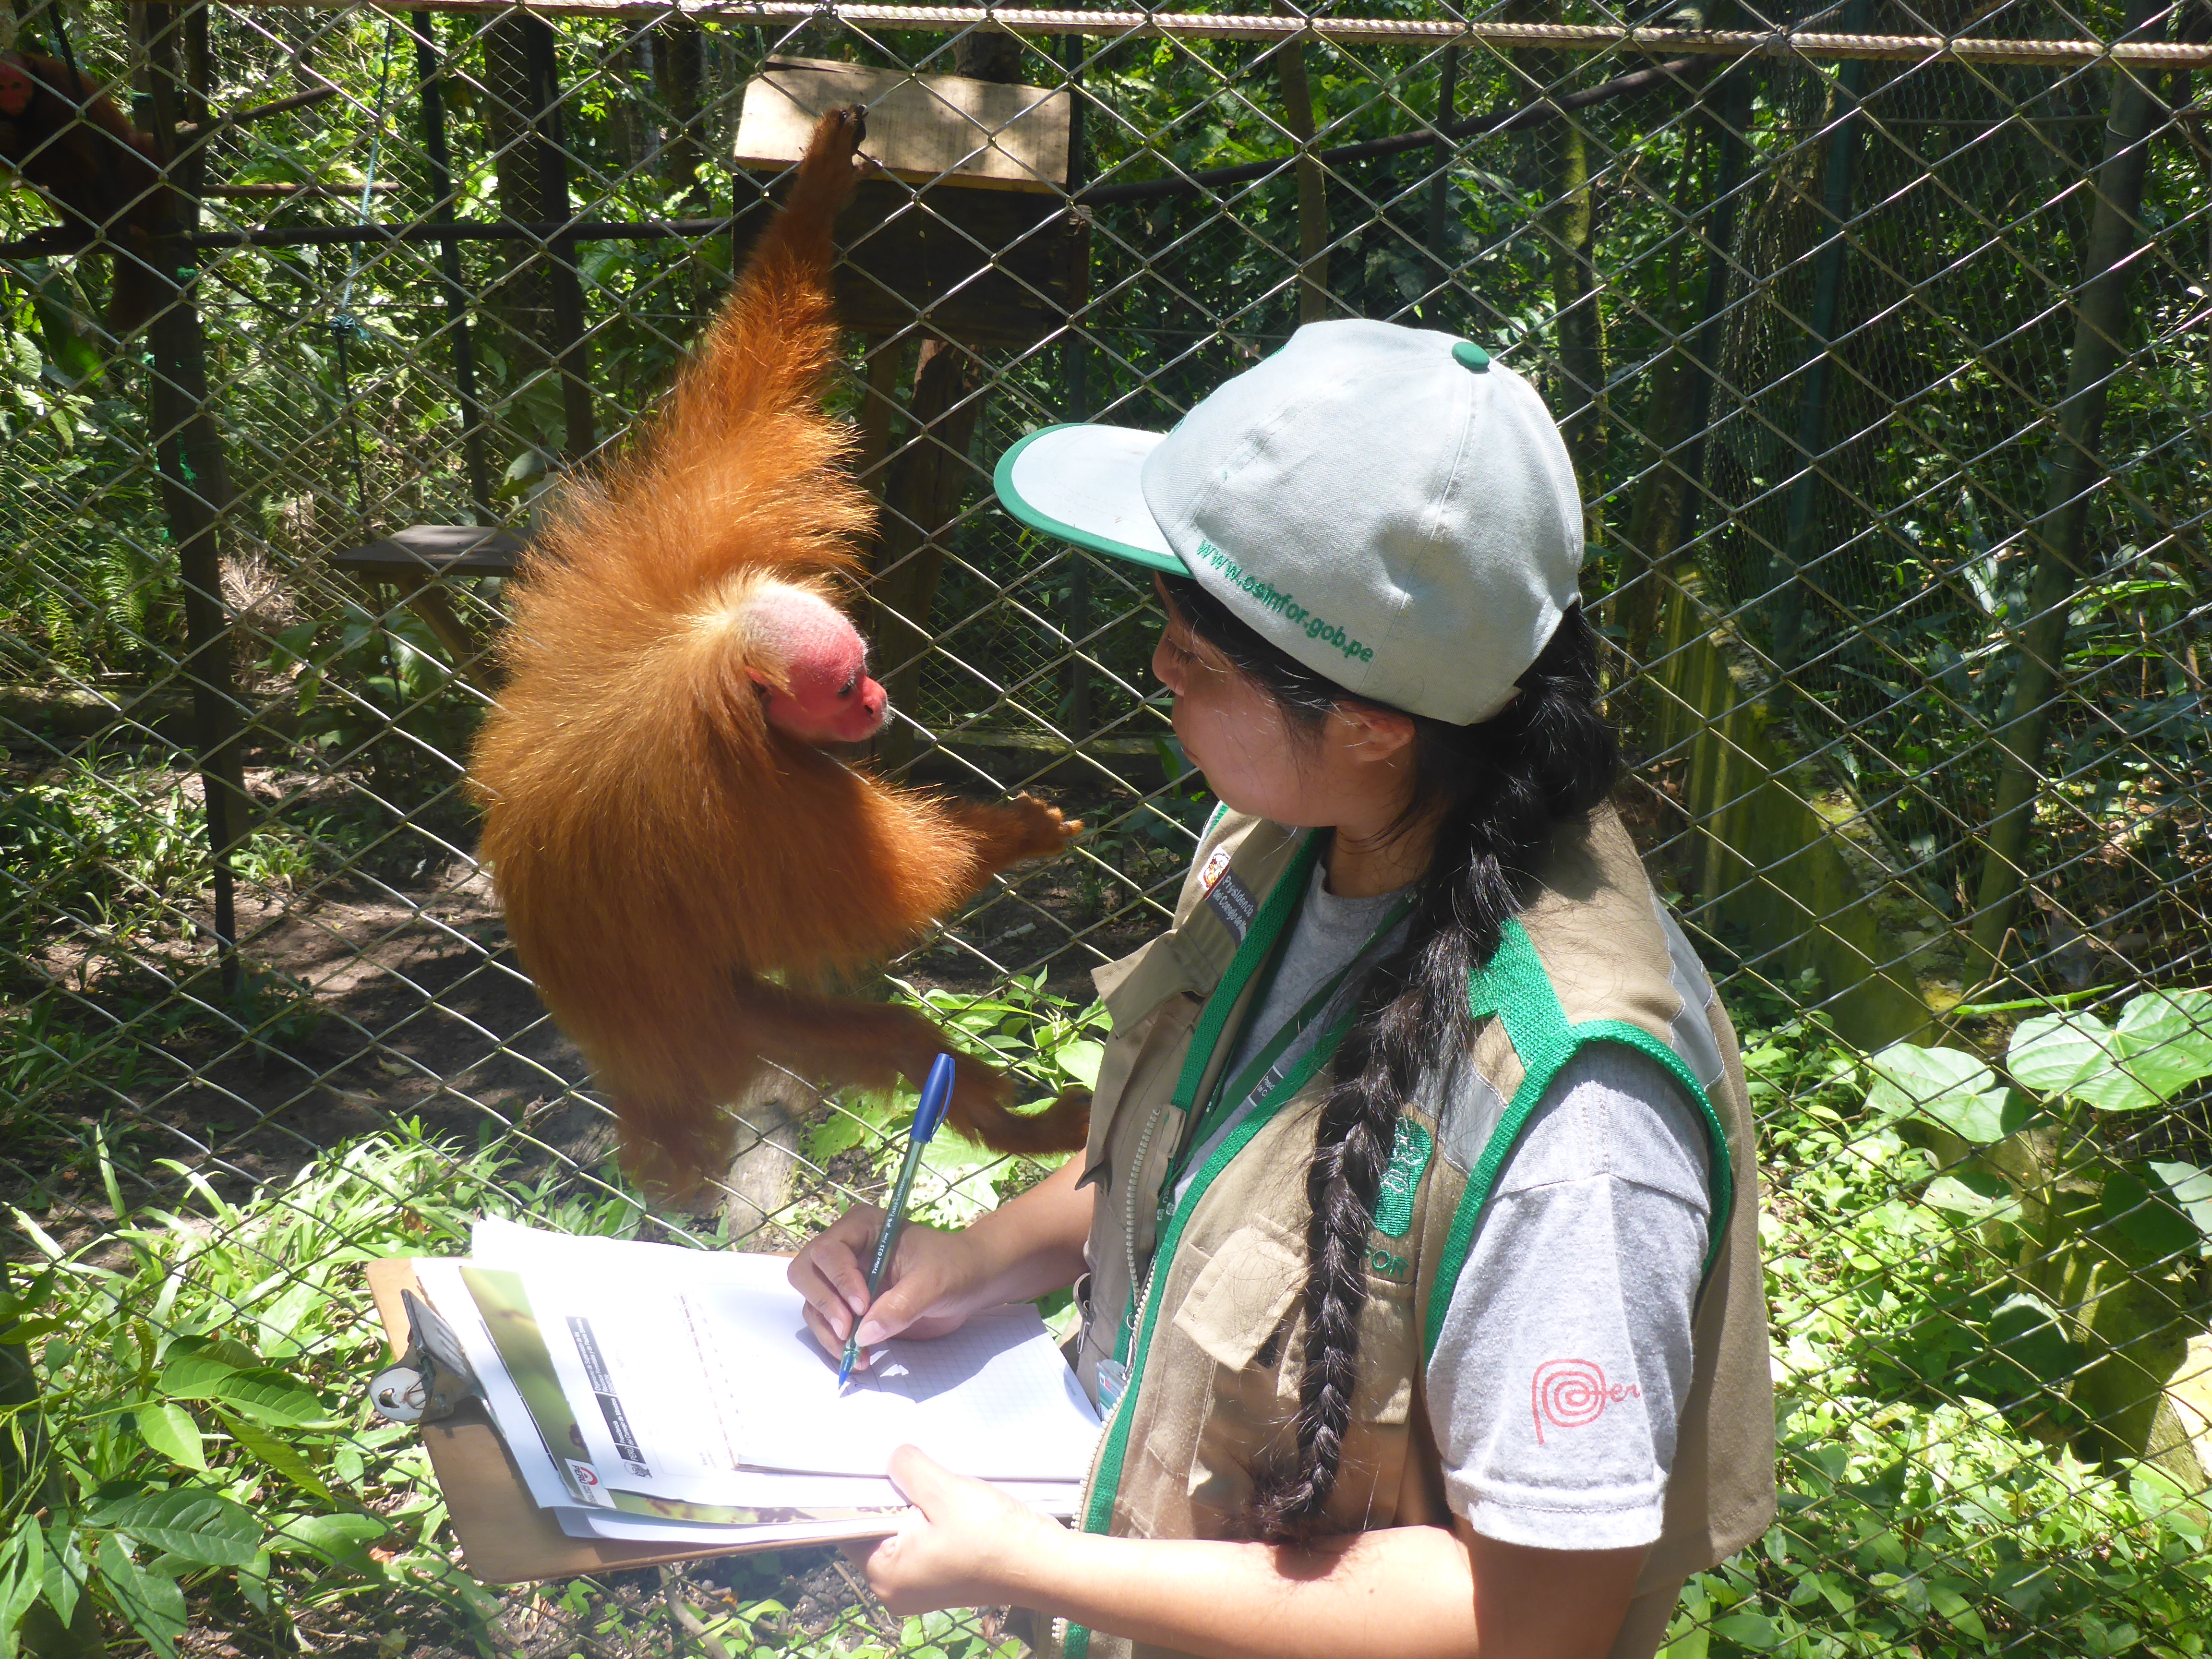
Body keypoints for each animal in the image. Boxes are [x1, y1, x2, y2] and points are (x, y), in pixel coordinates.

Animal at [0, 51, 172, 334]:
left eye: (16, 86)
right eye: (1, 88)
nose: (11, 100)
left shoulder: (61, 96)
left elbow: (84, 163)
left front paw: (11, 138)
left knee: (140, 146)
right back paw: (77, 233)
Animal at [471, 107, 1093, 1194]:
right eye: (844, 688)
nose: (880, 702)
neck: (721, 679)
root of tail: (636, 1080)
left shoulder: (691, 547)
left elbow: (750, 386)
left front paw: (818, 188)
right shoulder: (757, 808)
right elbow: (899, 886)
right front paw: (1015, 835)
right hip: (721, 1035)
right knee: (889, 1040)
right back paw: (1022, 1126)